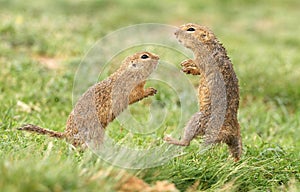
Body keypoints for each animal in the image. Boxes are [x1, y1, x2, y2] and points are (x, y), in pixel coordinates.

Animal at [17, 51, 159, 148]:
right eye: (144, 56)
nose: (158, 57)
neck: (129, 72)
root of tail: (66, 135)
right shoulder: (131, 89)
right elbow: (137, 95)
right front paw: (151, 90)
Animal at [165, 23, 243, 161]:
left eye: (191, 29)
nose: (175, 33)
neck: (210, 44)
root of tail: (231, 131)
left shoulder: (204, 57)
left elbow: (198, 63)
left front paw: (187, 63)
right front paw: (188, 69)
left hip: (198, 120)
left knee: (187, 142)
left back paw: (170, 139)